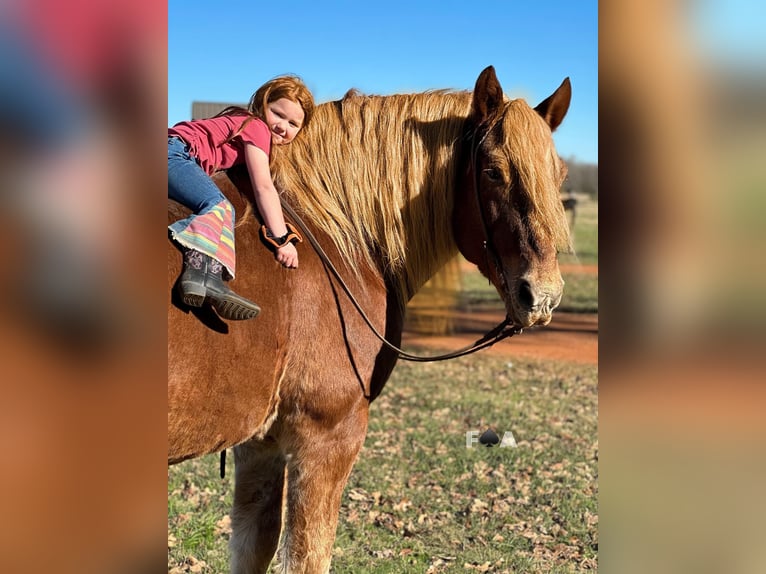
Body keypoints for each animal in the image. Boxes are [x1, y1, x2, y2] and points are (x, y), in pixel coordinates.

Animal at [171, 65, 572, 572]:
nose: (542, 295)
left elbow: (253, 547)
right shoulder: (325, 439)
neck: (330, 231)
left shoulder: (260, 444)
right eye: (493, 171)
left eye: (558, 175)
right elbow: (305, 556)